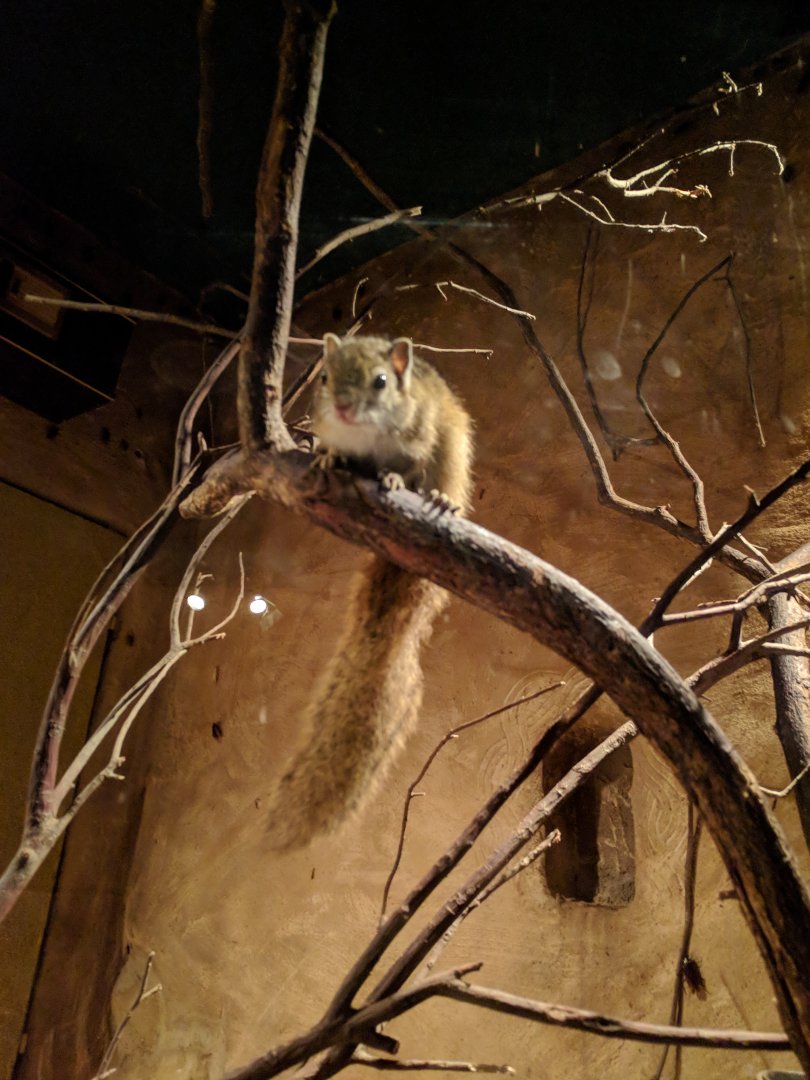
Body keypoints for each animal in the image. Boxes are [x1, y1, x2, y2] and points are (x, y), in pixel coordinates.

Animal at [266, 333, 474, 851]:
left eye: (381, 382)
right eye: (323, 376)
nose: (341, 407)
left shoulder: (421, 435)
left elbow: (412, 467)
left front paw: (399, 479)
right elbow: (333, 450)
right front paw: (329, 457)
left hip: (454, 449)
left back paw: (442, 499)